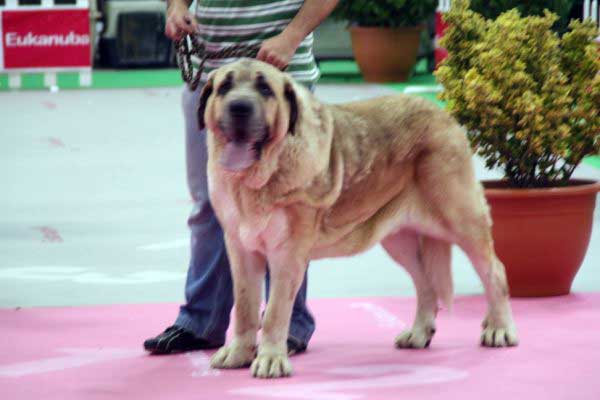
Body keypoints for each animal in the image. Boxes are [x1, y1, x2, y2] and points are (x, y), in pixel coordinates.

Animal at [199, 59, 516, 378]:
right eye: (224, 87)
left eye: (265, 89)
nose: (239, 107)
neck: (257, 179)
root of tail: (441, 113)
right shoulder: (241, 251)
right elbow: (245, 308)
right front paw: (238, 353)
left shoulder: (286, 254)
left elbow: (275, 312)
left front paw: (271, 359)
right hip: (399, 241)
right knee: (426, 284)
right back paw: (418, 333)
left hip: (461, 219)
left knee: (495, 271)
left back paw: (499, 329)